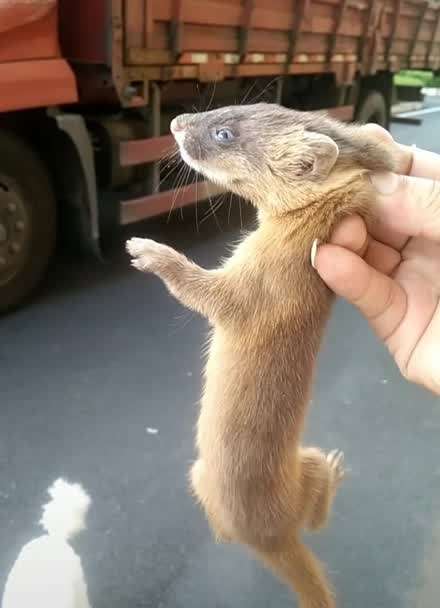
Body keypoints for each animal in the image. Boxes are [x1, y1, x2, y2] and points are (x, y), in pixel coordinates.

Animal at [125, 102, 398, 604]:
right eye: (239, 105)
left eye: (225, 133)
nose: (175, 122)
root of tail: (266, 538)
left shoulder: (253, 290)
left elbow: (202, 292)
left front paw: (148, 251)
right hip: (201, 475)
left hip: (295, 468)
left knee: (313, 520)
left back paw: (334, 472)